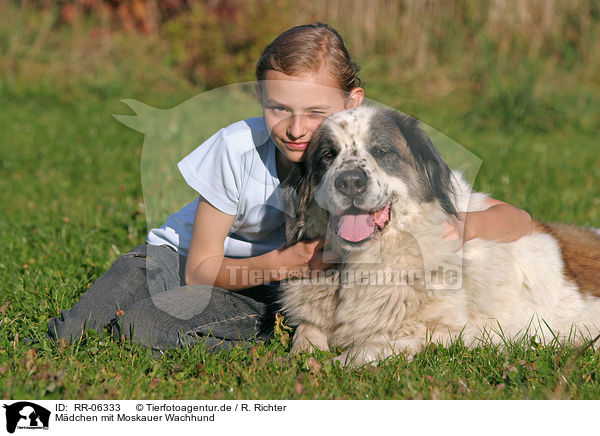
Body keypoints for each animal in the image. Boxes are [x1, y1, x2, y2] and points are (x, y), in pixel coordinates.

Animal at [278, 104, 600, 364]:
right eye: (327, 156)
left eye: (381, 151)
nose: (349, 182)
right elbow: (305, 332)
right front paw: (303, 355)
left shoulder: (453, 335)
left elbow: (370, 347)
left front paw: (328, 365)